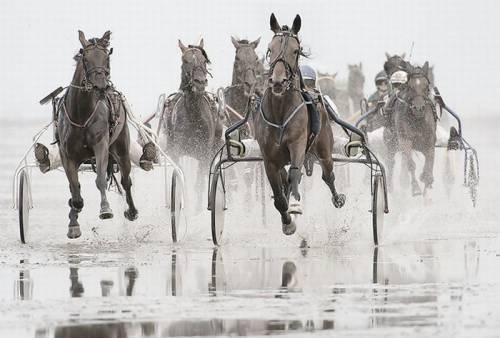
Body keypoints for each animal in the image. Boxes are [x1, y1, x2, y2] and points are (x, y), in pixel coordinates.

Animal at [57, 31, 138, 238]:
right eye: (85, 58)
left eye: (107, 57)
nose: (101, 86)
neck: (82, 113)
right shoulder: (66, 154)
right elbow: (74, 188)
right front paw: (74, 217)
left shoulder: (101, 144)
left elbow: (101, 178)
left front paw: (105, 209)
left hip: (121, 147)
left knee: (126, 181)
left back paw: (132, 211)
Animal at [256, 13, 346, 235]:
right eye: (270, 49)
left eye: (295, 51)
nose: (278, 81)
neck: (280, 113)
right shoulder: (269, 159)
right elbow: (279, 196)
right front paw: (287, 221)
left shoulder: (297, 144)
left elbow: (295, 174)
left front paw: (296, 205)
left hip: (324, 148)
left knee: (328, 175)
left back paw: (337, 198)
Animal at [384, 62, 436, 195]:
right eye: (410, 87)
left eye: (427, 87)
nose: (419, 108)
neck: (417, 121)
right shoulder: (405, 140)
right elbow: (410, 163)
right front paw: (416, 188)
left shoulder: (429, 142)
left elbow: (429, 164)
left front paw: (427, 181)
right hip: (391, 141)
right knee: (390, 162)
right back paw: (390, 187)